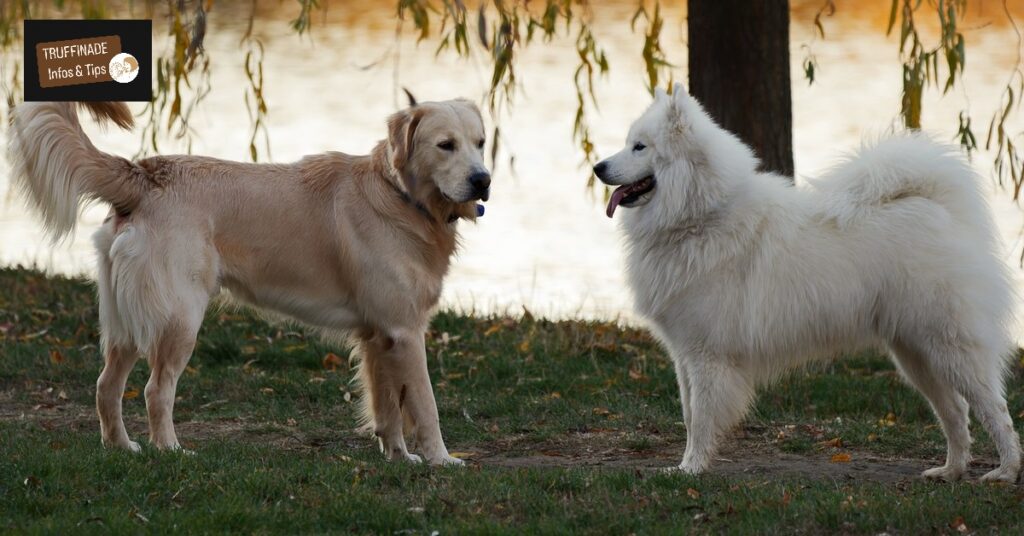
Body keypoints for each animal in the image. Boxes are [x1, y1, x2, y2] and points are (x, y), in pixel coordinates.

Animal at [6, 97, 489, 465]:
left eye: (481, 144)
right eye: (446, 145)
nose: (482, 179)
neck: (400, 197)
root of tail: (144, 174)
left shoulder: (378, 336)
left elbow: (388, 408)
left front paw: (399, 458)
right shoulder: (404, 332)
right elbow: (425, 406)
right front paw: (442, 460)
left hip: (125, 322)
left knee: (107, 387)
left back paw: (122, 447)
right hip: (179, 319)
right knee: (155, 390)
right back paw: (171, 451)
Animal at [598, 83, 1019, 481]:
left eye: (639, 146)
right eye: (628, 142)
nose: (598, 167)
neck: (701, 217)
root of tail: (940, 209)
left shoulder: (707, 355)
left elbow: (700, 420)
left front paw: (692, 469)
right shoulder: (684, 354)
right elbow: (688, 416)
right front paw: (685, 467)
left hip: (950, 346)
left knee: (996, 408)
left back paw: (1005, 472)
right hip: (915, 353)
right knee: (956, 412)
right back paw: (951, 471)